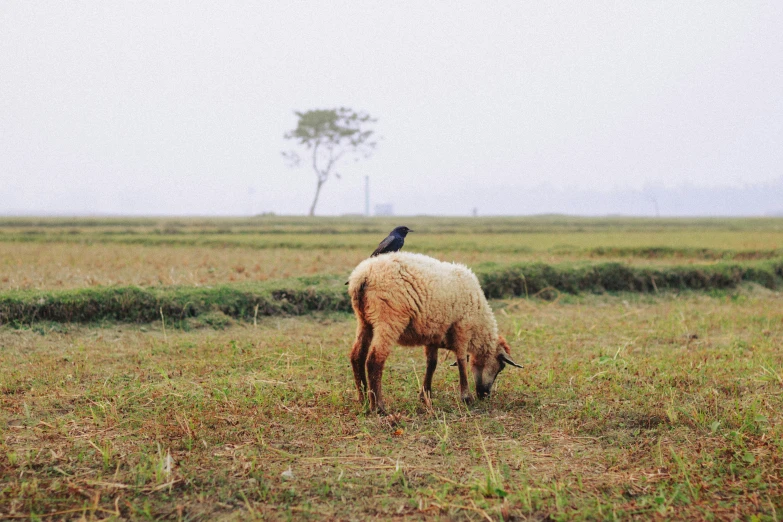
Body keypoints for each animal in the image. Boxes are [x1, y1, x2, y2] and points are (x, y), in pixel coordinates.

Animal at [348, 250, 520, 412]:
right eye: (501, 366)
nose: (485, 395)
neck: (479, 327)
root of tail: (363, 275)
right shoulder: (462, 328)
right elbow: (461, 361)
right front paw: (466, 397)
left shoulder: (433, 335)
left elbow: (432, 363)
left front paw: (425, 395)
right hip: (389, 319)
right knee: (374, 360)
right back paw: (378, 406)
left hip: (364, 320)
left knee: (357, 356)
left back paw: (363, 399)